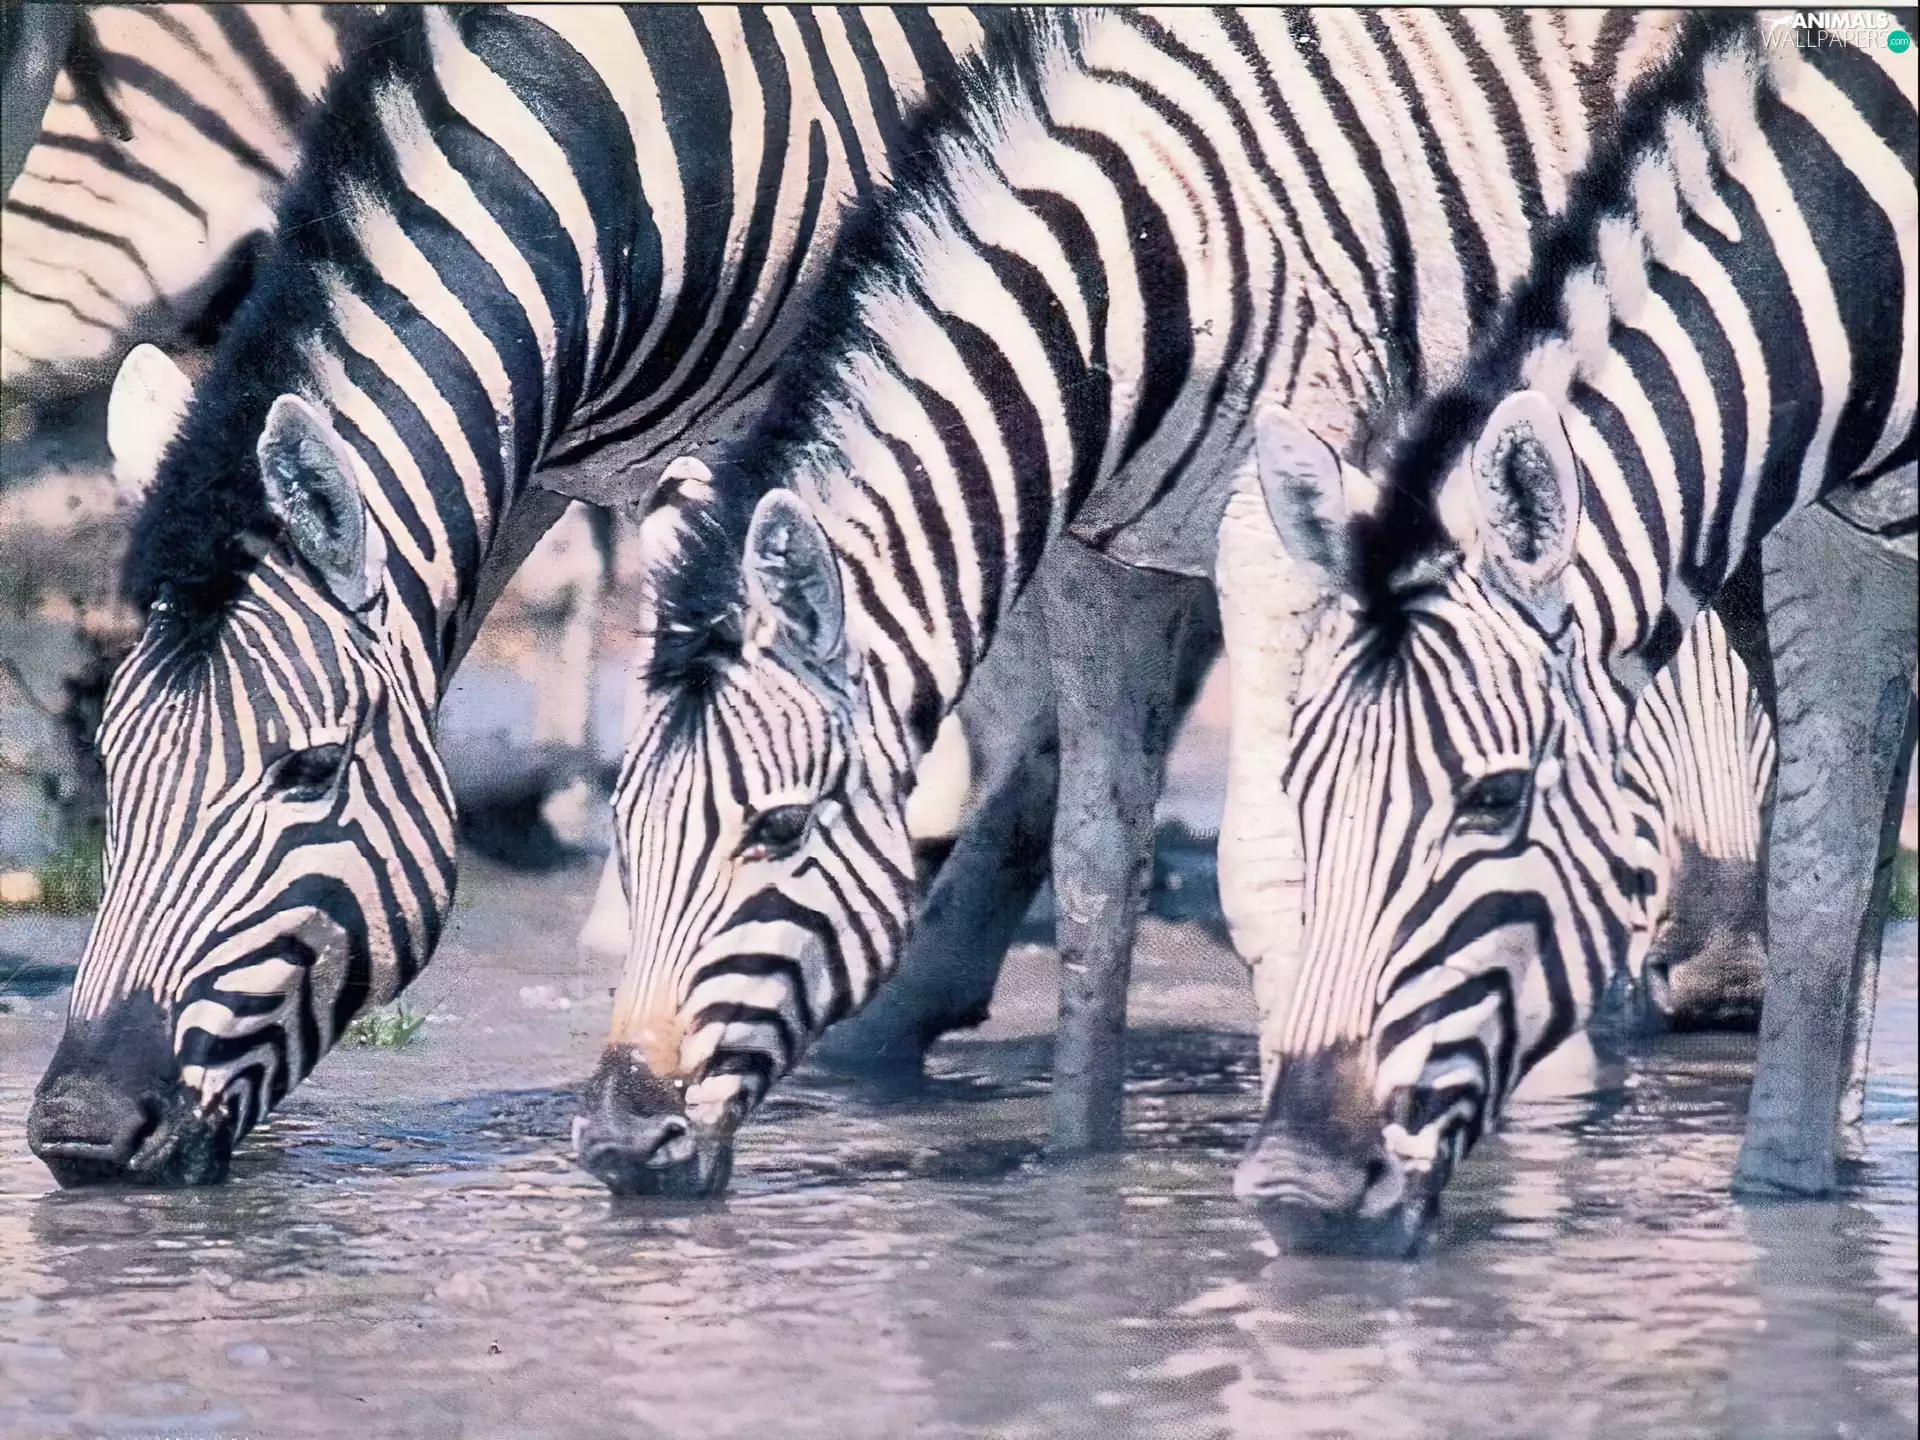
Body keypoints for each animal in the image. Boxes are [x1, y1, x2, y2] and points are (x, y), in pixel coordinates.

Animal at [573, 8, 1808, 1196]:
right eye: (625, 833)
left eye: (777, 831)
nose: (622, 1141)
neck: (1124, 292)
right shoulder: (1096, 564)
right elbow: (1091, 867)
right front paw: (1078, 1173)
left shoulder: (1271, 539)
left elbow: (1269, 861)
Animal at [1235, 9, 1913, 1251]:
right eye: (1303, 792)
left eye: (1495, 799)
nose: (1298, 1197)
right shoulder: (1841, 548)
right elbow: (1818, 870)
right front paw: (1785, 1207)